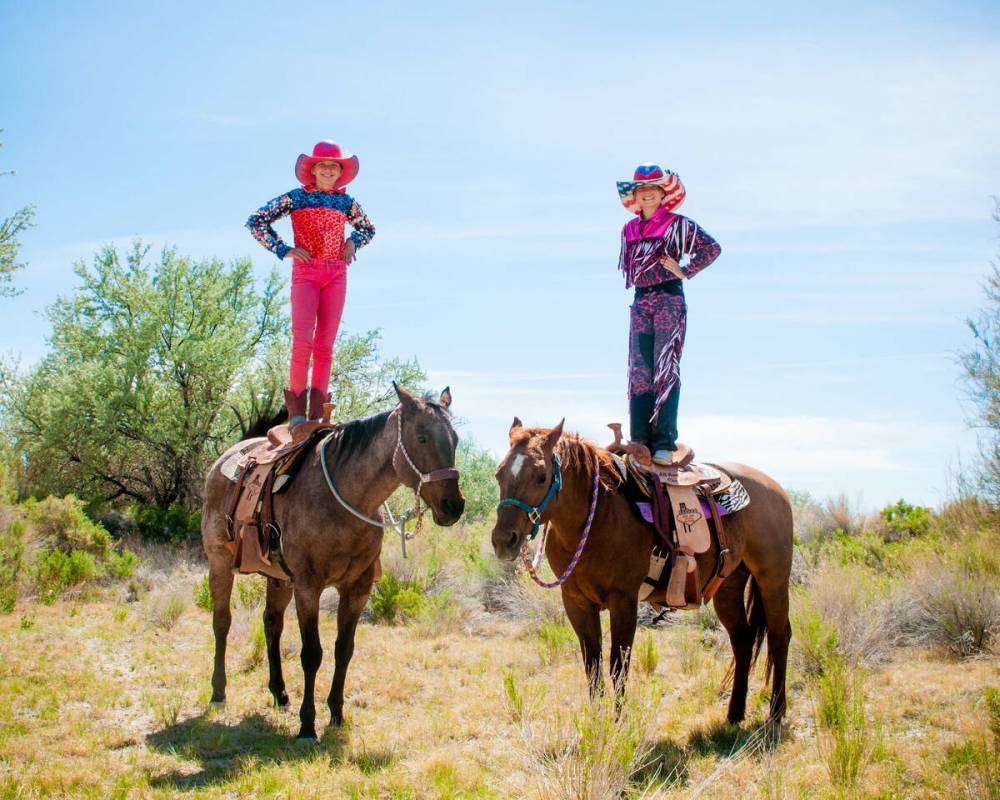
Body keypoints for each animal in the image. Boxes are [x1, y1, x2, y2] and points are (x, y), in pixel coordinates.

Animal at [206, 384, 468, 740]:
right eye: (423, 437)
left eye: (454, 439)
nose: (453, 505)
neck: (344, 498)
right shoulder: (308, 587)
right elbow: (311, 653)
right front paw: (307, 724)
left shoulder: (357, 588)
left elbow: (344, 649)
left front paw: (337, 715)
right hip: (219, 561)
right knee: (222, 621)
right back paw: (218, 693)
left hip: (279, 578)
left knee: (271, 623)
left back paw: (280, 693)